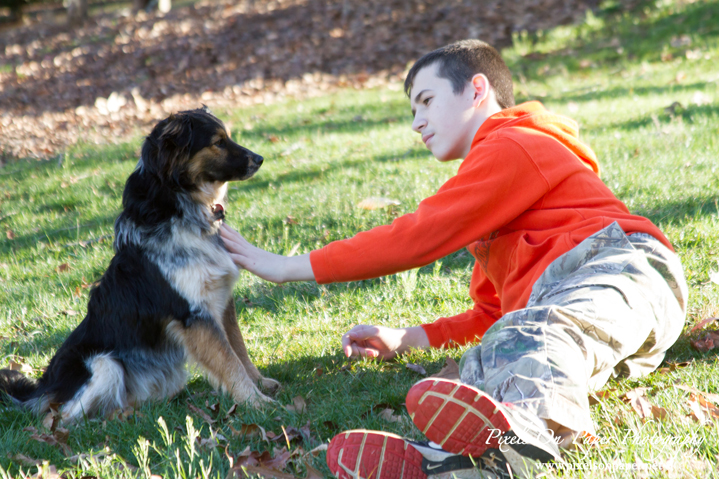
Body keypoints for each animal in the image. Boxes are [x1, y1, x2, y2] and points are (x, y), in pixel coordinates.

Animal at [0, 109, 278, 424]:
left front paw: (260, 383)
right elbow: (230, 362)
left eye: (227, 137)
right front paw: (257, 403)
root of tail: (41, 389)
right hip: (103, 363)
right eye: (218, 142)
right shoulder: (194, 313)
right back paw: (120, 417)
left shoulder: (222, 301)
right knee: (60, 418)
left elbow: (239, 350)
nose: (259, 159)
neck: (181, 210)